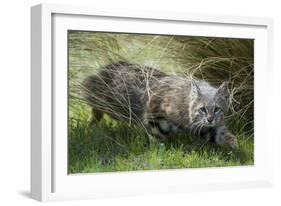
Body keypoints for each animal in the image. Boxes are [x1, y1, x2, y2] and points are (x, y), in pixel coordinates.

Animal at [81, 60, 236, 148]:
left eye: (217, 109)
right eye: (203, 109)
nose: (210, 119)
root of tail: (108, 66)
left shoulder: (203, 127)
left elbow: (220, 133)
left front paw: (232, 143)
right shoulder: (153, 113)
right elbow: (157, 138)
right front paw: (158, 153)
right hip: (105, 99)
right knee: (93, 102)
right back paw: (91, 124)